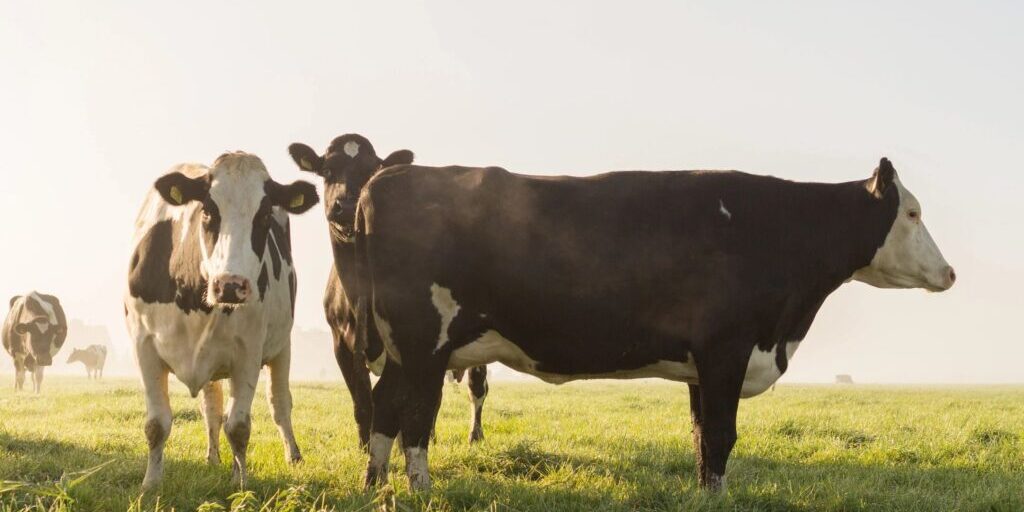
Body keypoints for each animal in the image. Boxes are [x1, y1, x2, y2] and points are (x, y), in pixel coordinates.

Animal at [124, 151, 319, 490]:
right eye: (207, 210)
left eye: (264, 215)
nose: (230, 284)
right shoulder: (143, 347)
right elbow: (157, 424)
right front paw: (150, 484)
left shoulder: (248, 353)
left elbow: (239, 426)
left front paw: (241, 483)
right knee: (212, 408)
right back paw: (212, 458)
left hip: (282, 346)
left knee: (279, 402)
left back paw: (292, 455)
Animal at [288, 134, 490, 446]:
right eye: (327, 171)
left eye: (371, 171)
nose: (348, 205)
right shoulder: (341, 344)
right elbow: (363, 402)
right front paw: (365, 446)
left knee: (476, 388)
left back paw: (474, 435)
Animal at [350, 157, 955, 492]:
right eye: (913, 213)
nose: (950, 273)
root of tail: (387, 175)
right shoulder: (726, 349)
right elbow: (721, 435)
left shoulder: (702, 364)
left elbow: (703, 438)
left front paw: (707, 494)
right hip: (424, 342)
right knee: (415, 418)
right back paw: (419, 488)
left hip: (407, 349)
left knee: (385, 407)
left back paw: (376, 483)